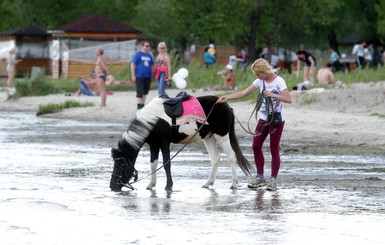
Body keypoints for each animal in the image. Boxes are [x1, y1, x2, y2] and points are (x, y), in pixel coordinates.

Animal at [109, 94, 252, 191]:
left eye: (121, 164)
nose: (112, 186)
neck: (154, 120)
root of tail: (225, 104)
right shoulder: (153, 145)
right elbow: (153, 165)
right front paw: (151, 185)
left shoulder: (164, 144)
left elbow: (166, 164)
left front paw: (168, 186)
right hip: (209, 137)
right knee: (215, 158)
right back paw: (208, 183)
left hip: (222, 136)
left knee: (232, 157)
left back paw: (234, 183)